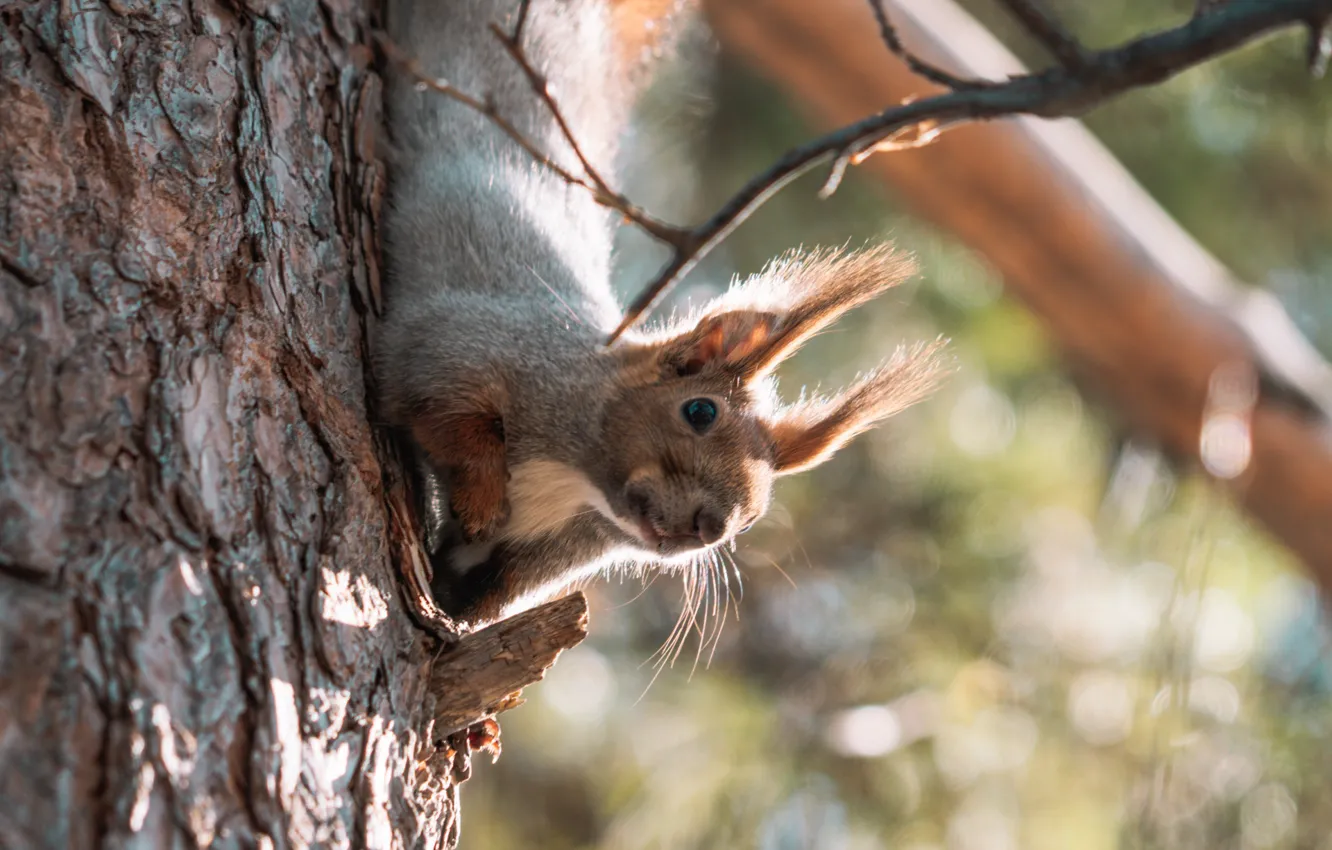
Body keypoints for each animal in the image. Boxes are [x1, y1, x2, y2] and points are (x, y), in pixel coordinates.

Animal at [375, 0, 946, 626]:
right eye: (699, 411)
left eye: (755, 516)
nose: (711, 528)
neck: (574, 479)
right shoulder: (473, 344)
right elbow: (445, 405)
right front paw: (479, 498)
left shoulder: (557, 544)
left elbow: (488, 590)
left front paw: (462, 606)